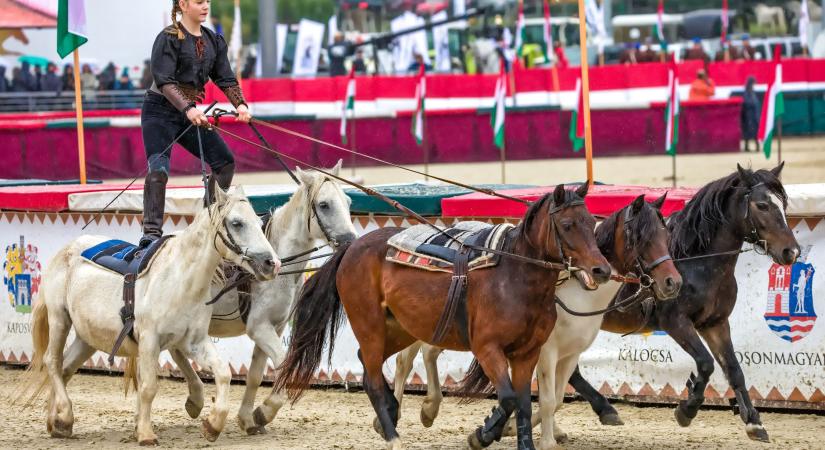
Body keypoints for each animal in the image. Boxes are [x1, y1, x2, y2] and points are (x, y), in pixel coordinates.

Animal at [21, 187, 280, 446]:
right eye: (237, 223)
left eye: (259, 223)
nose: (272, 263)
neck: (180, 279)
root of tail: (66, 249)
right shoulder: (149, 341)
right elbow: (148, 388)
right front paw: (145, 433)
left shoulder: (194, 341)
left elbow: (223, 373)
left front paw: (213, 425)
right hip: (59, 318)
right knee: (52, 362)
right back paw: (65, 415)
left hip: (88, 337)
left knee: (66, 368)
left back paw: (56, 423)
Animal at [172, 163, 356, 434]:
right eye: (324, 205)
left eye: (348, 201)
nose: (349, 241)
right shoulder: (259, 328)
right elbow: (283, 364)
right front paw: (264, 412)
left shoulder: (274, 328)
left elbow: (256, 375)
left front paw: (248, 419)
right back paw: (196, 398)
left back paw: (195, 399)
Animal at [276, 184, 612, 450]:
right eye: (567, 224)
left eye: (590, 222)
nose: (602, 269)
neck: (513, 275)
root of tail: (351, 248)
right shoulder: (488, 349)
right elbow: (508, 400)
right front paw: (481, 435)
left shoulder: (527, 353)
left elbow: (525, 407)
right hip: (369, 325)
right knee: (371, 378)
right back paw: (393, 436)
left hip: (400, 328)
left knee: (371, 361)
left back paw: (392, 411)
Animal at [390, 194, 680, 450]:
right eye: (640, 237)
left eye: (666, 236)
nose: (672, 282)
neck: (576, 289)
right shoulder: (546, 352)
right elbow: (549, 399)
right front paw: (544, 439)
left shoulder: (570, 354)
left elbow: (557, 398)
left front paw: (508, 427)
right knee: (406, 361)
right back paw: (400, 415)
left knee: (428, 353)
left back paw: (429, 408)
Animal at [568, 163, 800, 442]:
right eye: (762, 205)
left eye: (783, 204)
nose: (791, 251)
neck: (695, 260)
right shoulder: (676, 322)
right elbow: (706, 363)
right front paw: (687, 409)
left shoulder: (715, 324)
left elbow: (733, 369)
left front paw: (754, 422)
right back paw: (604, 408)